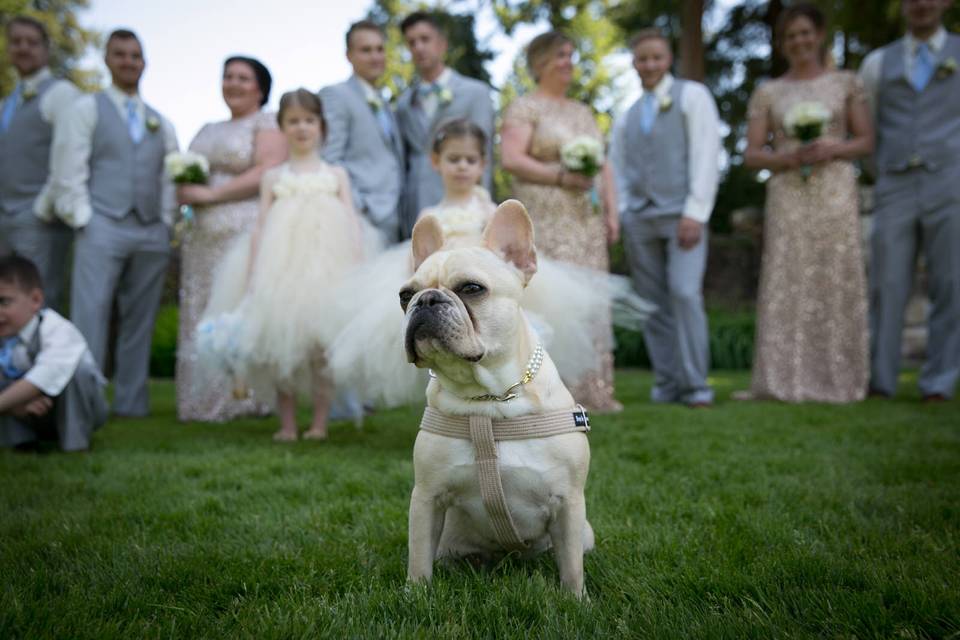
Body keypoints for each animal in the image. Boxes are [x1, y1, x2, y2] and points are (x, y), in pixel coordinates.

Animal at [400, 201, 592, 600]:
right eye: (405, 295)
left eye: (472, 289)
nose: (425, 300)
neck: (489, 399)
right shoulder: (426, 497)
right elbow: (418, 555)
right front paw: (415, 595)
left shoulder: (568, 502)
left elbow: (570, 565)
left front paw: (576, 601)